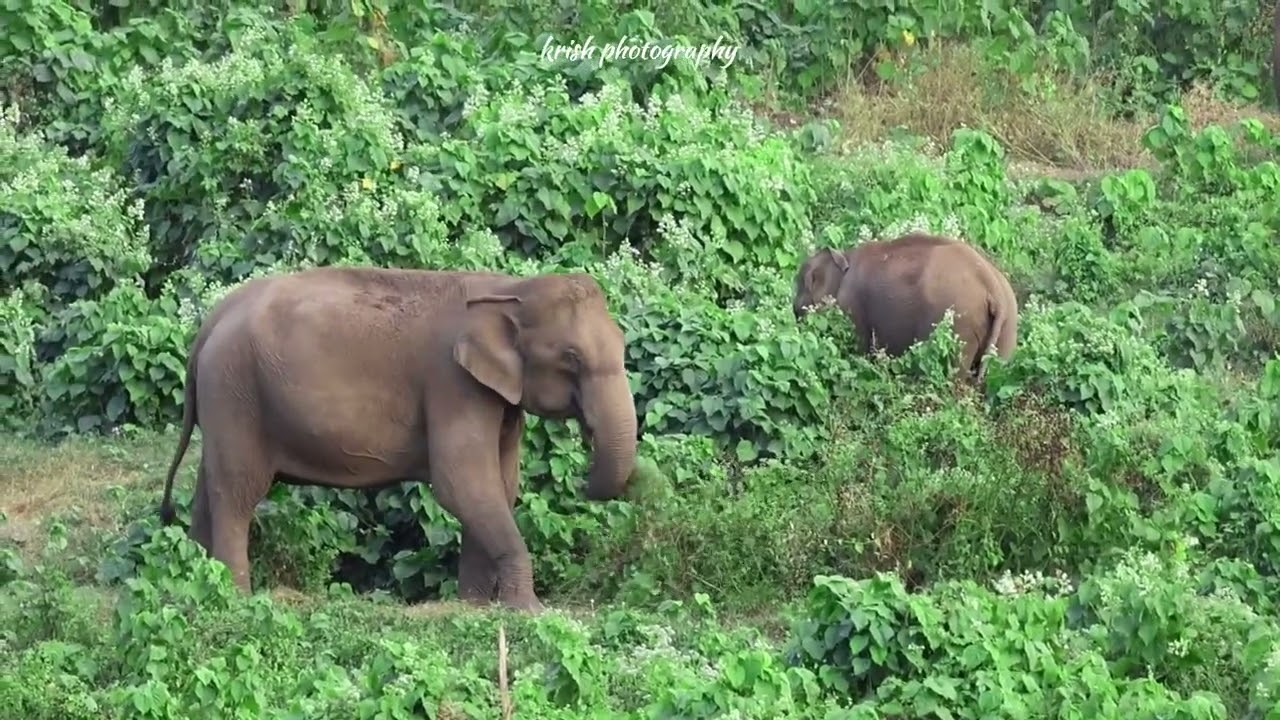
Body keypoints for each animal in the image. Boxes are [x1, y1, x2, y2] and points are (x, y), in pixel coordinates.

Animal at [156, 266, 639, 613]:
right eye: (571, 358)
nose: (585, 480)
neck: (508, 288)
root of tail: (212, 320)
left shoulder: (495, 396)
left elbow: (499, 486)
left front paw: (471, 606)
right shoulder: (452, 384)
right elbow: (461, 482)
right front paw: (530, 611)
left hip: (225, 399)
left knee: (210, 489)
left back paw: (197, 585)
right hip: (236, 391)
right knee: (238, 493)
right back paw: (236, 599)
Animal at [792, 232, 1019, 381]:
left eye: (802, 282)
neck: (845, 257)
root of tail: (993, 289)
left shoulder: (852, 308)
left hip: (961, 325)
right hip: (1007, 329)